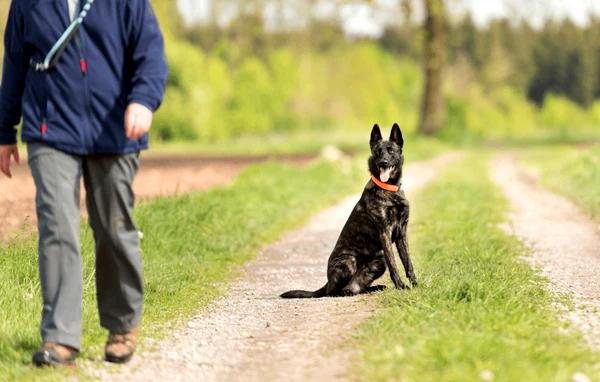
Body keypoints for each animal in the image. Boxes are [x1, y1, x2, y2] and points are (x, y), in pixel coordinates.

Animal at [282, 124, 418, 298]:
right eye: (377, 152)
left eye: (391, 151)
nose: (383, 162)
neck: (389, 189)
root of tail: (327, 282)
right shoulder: (384, 233)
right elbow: (394, 265)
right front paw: (401, 287)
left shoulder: (402, 233)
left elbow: (408, 263)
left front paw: (416, 285)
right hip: (349, 261)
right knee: (333, 291)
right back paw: (345, 292)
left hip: (379, 262)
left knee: (355, 287)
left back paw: (372, 288)